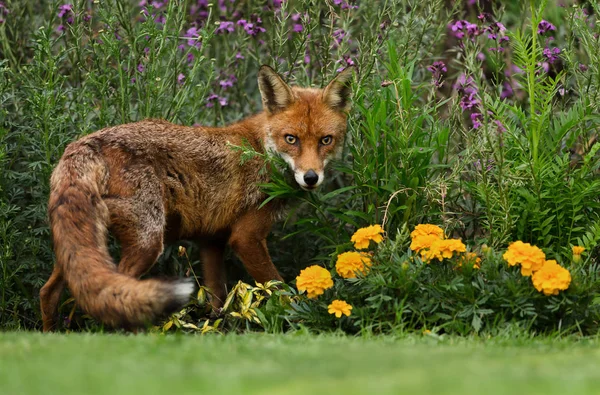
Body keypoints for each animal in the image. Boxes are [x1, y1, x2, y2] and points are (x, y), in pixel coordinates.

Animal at [39, 65, 354, 332]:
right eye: (291, 139)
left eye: (325, 140)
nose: (311, 178)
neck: (261, 150)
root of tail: (83, 144)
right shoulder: (246, 237)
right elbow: (279, 289)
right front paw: (298, 318)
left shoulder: (211, 241)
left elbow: (217, 301)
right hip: (147, 241)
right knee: (118, 295)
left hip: (78, 245)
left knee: (49, 291)